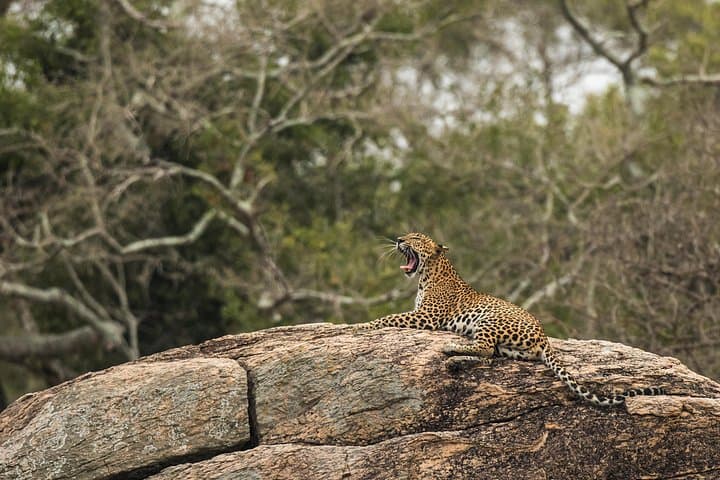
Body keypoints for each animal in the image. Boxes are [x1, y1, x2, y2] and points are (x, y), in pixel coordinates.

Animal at [355, 232, 665, 407]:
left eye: (416, 238)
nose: (398, 240)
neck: (428, 273)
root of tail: (544, 337)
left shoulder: (428, 316)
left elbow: (389, 317)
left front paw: (358, 325)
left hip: (488, 319)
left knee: (485, 348)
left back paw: (450, 350)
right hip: (510, 347)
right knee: (490, 354)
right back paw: (455, 359)